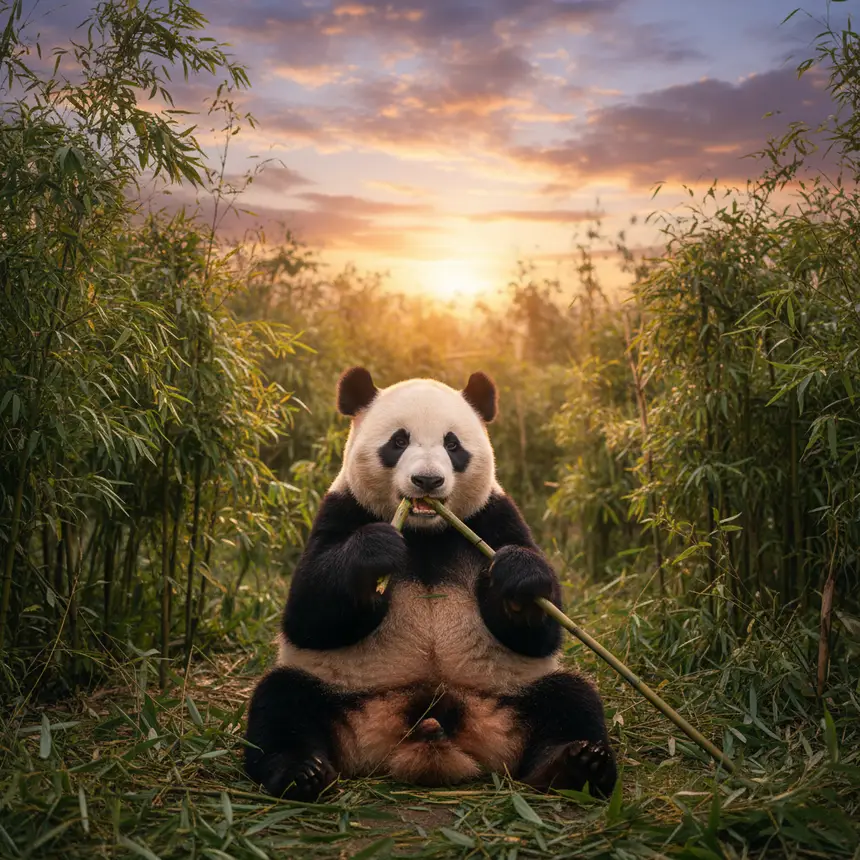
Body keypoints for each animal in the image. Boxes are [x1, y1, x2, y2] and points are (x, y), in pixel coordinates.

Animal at [244, 367, 617, 801]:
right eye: (398, 441)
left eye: (452, 444)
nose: (427, 480)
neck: (425, 532)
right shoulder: (342, 509)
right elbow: (308, 615)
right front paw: (375, 552)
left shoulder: (493, 517)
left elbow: (540, 634)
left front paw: (519, 579)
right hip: (341, 692)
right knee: (281, 702)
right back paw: (301, 773)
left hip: (512, 692)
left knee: (571, 699)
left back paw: (577, 765)